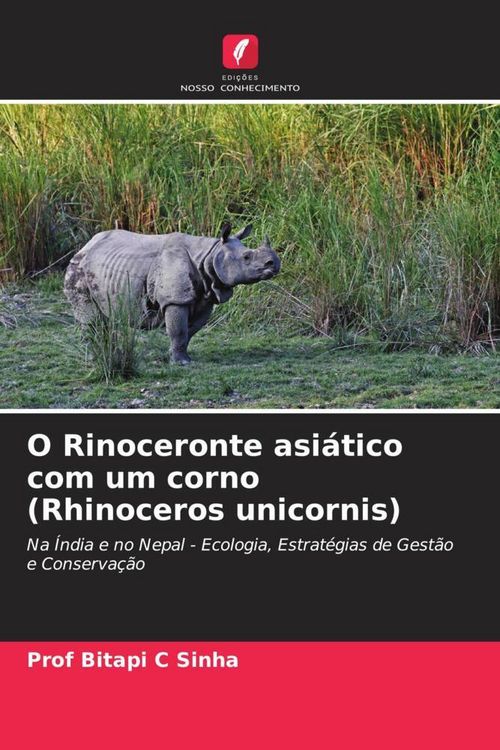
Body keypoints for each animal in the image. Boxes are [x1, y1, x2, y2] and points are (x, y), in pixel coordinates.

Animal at [64, 222, 280, 364]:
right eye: (246, 257)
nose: (274, 264)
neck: (209, 254)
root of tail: (84, 246)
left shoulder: (205, 297)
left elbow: (190, 330)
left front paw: (176, 356)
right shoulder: (176, 299)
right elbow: (179, 330)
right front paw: (182, 363)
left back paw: (108, 353)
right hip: (77, 268)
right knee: (90, 318)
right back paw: (95, 358)